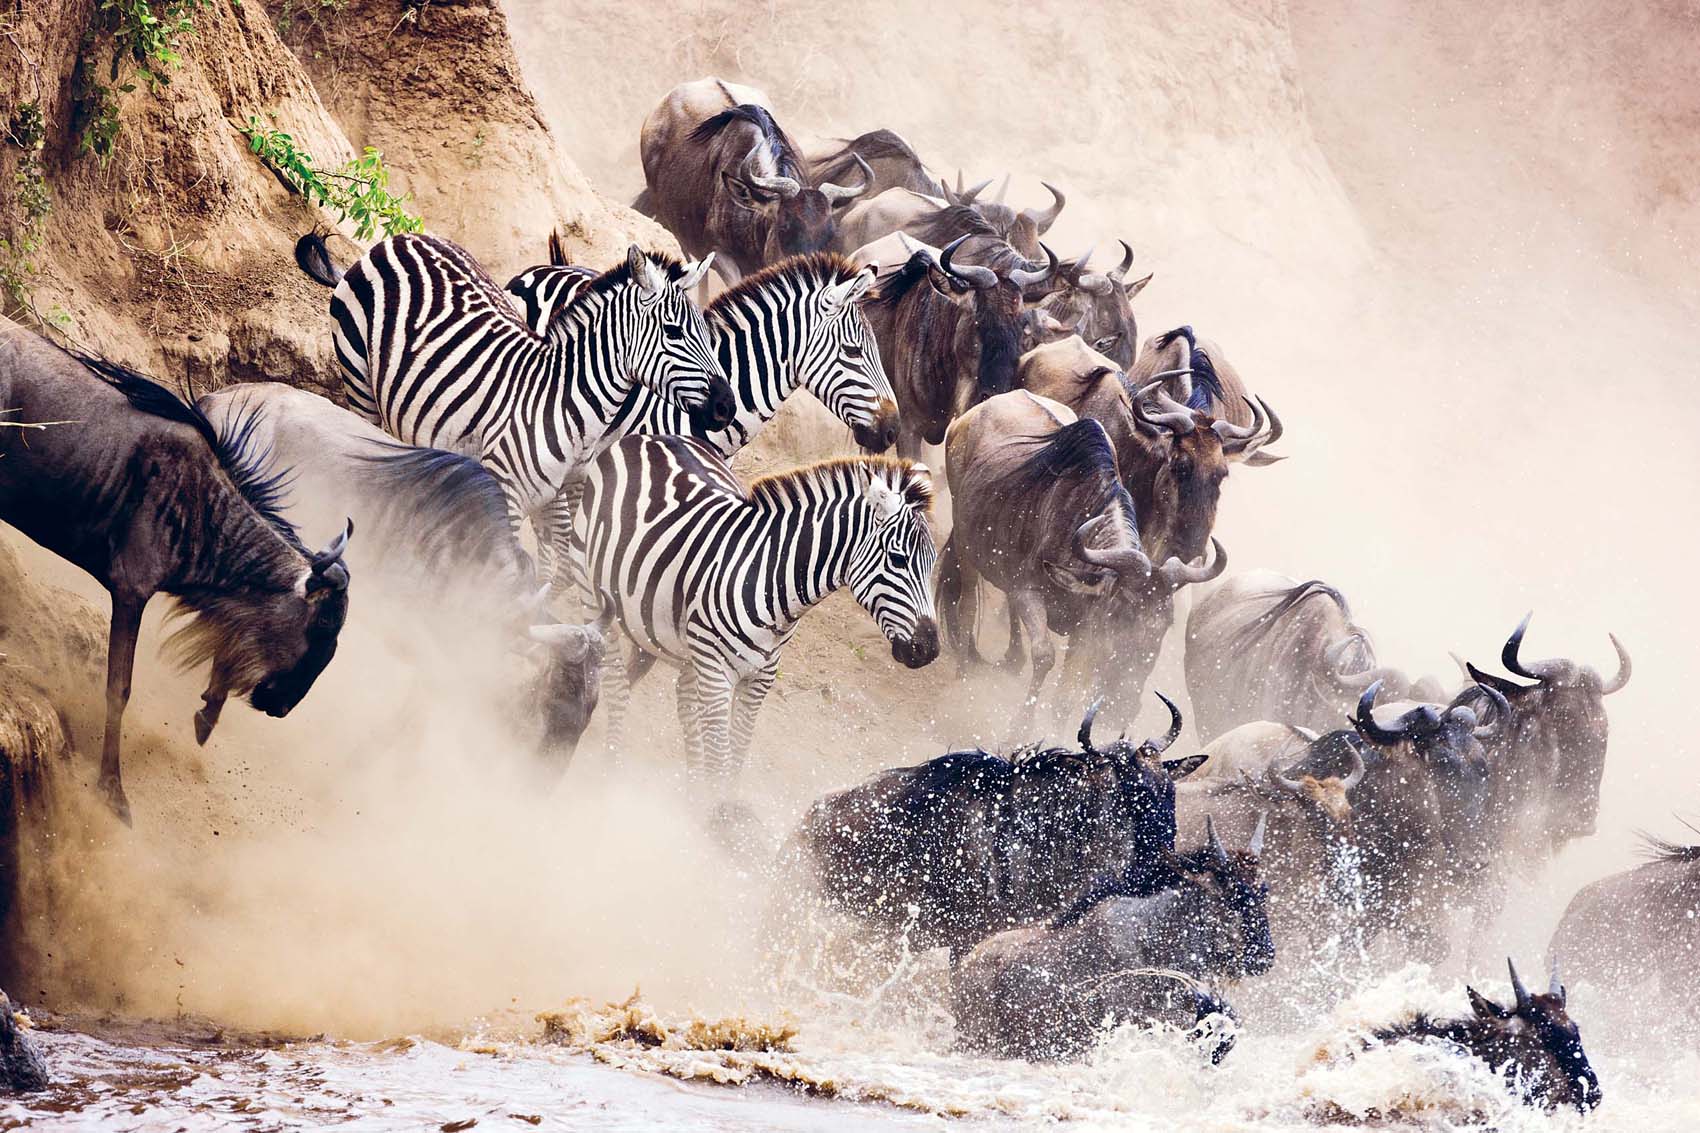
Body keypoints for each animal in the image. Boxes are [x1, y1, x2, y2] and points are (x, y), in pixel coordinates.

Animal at [295, 233, 734, 578]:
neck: (568, 406)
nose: (726, 407)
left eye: (706, 331)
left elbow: (557, 567)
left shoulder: (561, 496)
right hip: (358, 379)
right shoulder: (502, 491)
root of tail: (399, 239)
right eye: (673, 332)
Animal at [574, 432, 945, 785]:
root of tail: (649, 437)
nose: (929, 649)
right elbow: (720, 764)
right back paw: (608, 771)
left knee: (681, 702)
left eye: (931, 564)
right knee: (618, 688)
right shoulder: (717, 675)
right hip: (593, 596)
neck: (768, 577)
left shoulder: (760, 677)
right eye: (898, 559)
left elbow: (735, 760)